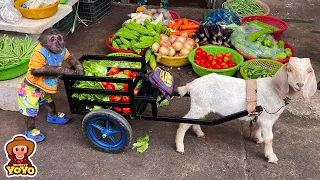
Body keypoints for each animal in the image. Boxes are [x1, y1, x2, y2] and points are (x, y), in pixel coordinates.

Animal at [175, 57, 318, 163]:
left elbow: (258, 127)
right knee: (183, 123)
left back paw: (199, 133)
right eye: (290, 70)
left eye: (309, 71)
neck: (276, 90)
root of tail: (192, 85)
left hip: (200, 106)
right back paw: (180, 147)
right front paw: (271, 156)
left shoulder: (262, 115)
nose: (300, 85)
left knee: (194, 120)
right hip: (199, 105)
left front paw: (258, 139)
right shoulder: (268, 118)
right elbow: (270, 138)